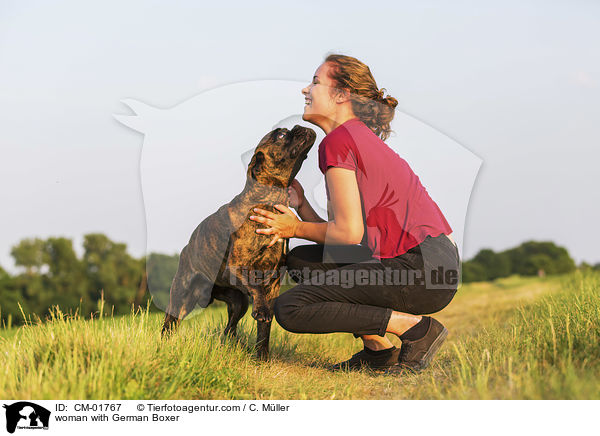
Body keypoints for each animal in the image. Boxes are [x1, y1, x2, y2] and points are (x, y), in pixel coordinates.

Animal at [162, 124, 316, 360]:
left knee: (229, 329)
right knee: (169, 325)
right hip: (181, 298)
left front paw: (262, 357)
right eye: (281, 135)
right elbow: (256, 288)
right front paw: (260, 311)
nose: (298, 126)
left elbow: (265, 329)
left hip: (238, 303)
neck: (267, 200)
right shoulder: (239, 266)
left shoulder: (273, 282)